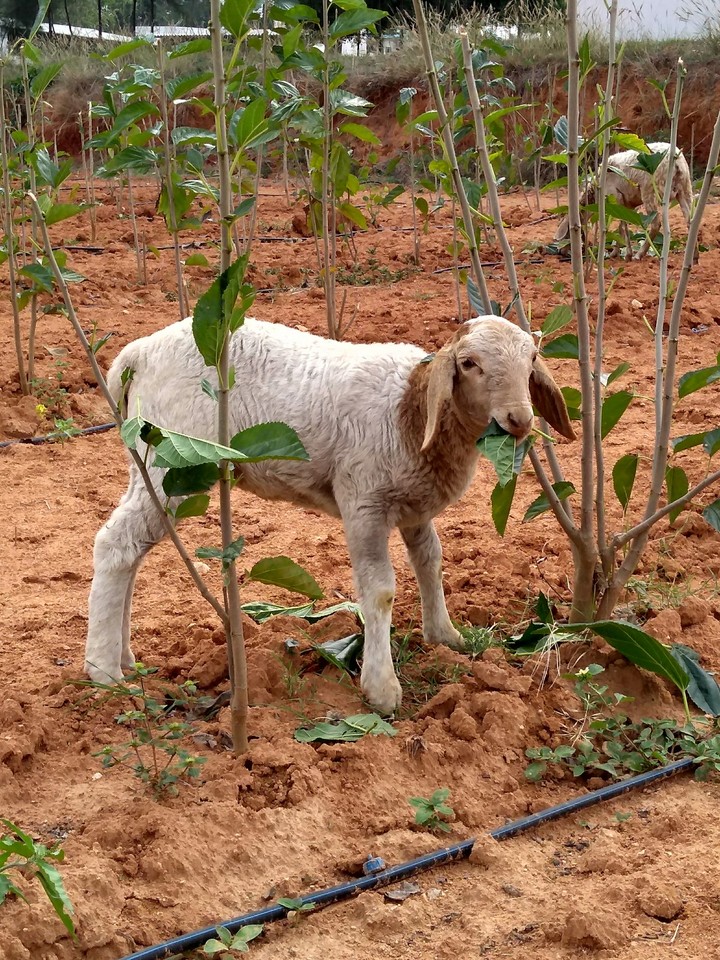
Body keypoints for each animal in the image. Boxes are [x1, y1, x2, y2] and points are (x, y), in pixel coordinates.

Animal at [85, 316, 575, 714]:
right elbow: (380, 592)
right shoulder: (362, 500)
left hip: (149, 463)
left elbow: (431, 561)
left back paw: (124, 657)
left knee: (130, 552)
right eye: (469, 363)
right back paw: (103, 670)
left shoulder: (415, 505)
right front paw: (382, 688)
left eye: (532, 359)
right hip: (172, 461)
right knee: (115, 544)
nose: (519, 420)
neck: (412, 411)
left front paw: (445, 636)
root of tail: (139, 352)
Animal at [554, 142, 694, 260]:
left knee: (656, 223)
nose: (560, 252)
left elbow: (623, 225)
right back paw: (694, 257)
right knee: (690, 220)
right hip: (685, 188)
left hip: (650, 190)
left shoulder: (616, 197)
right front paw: (615, 252)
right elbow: (622, 227)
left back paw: (639, 254)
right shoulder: (627, 205)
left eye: (568, 234)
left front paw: (627, 254)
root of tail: (677, 162)